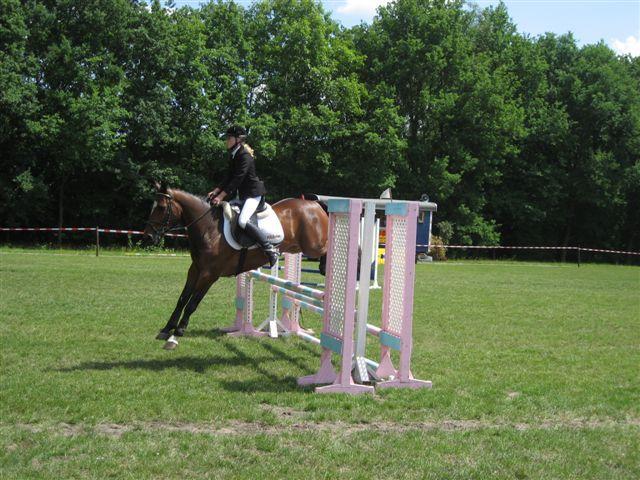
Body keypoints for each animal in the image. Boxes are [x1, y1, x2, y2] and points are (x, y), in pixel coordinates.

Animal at [142, 183, 328, 348]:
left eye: (160, 208)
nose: (148, 237)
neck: (208, 228)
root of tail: (313, 204)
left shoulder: (209, 275)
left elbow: (192, 303)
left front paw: (176, 334)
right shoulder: (195, 269)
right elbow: (182, 300)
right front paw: (166, 329)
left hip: (313, 246)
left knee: (328, 248)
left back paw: (324, 268)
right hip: (296, 247)